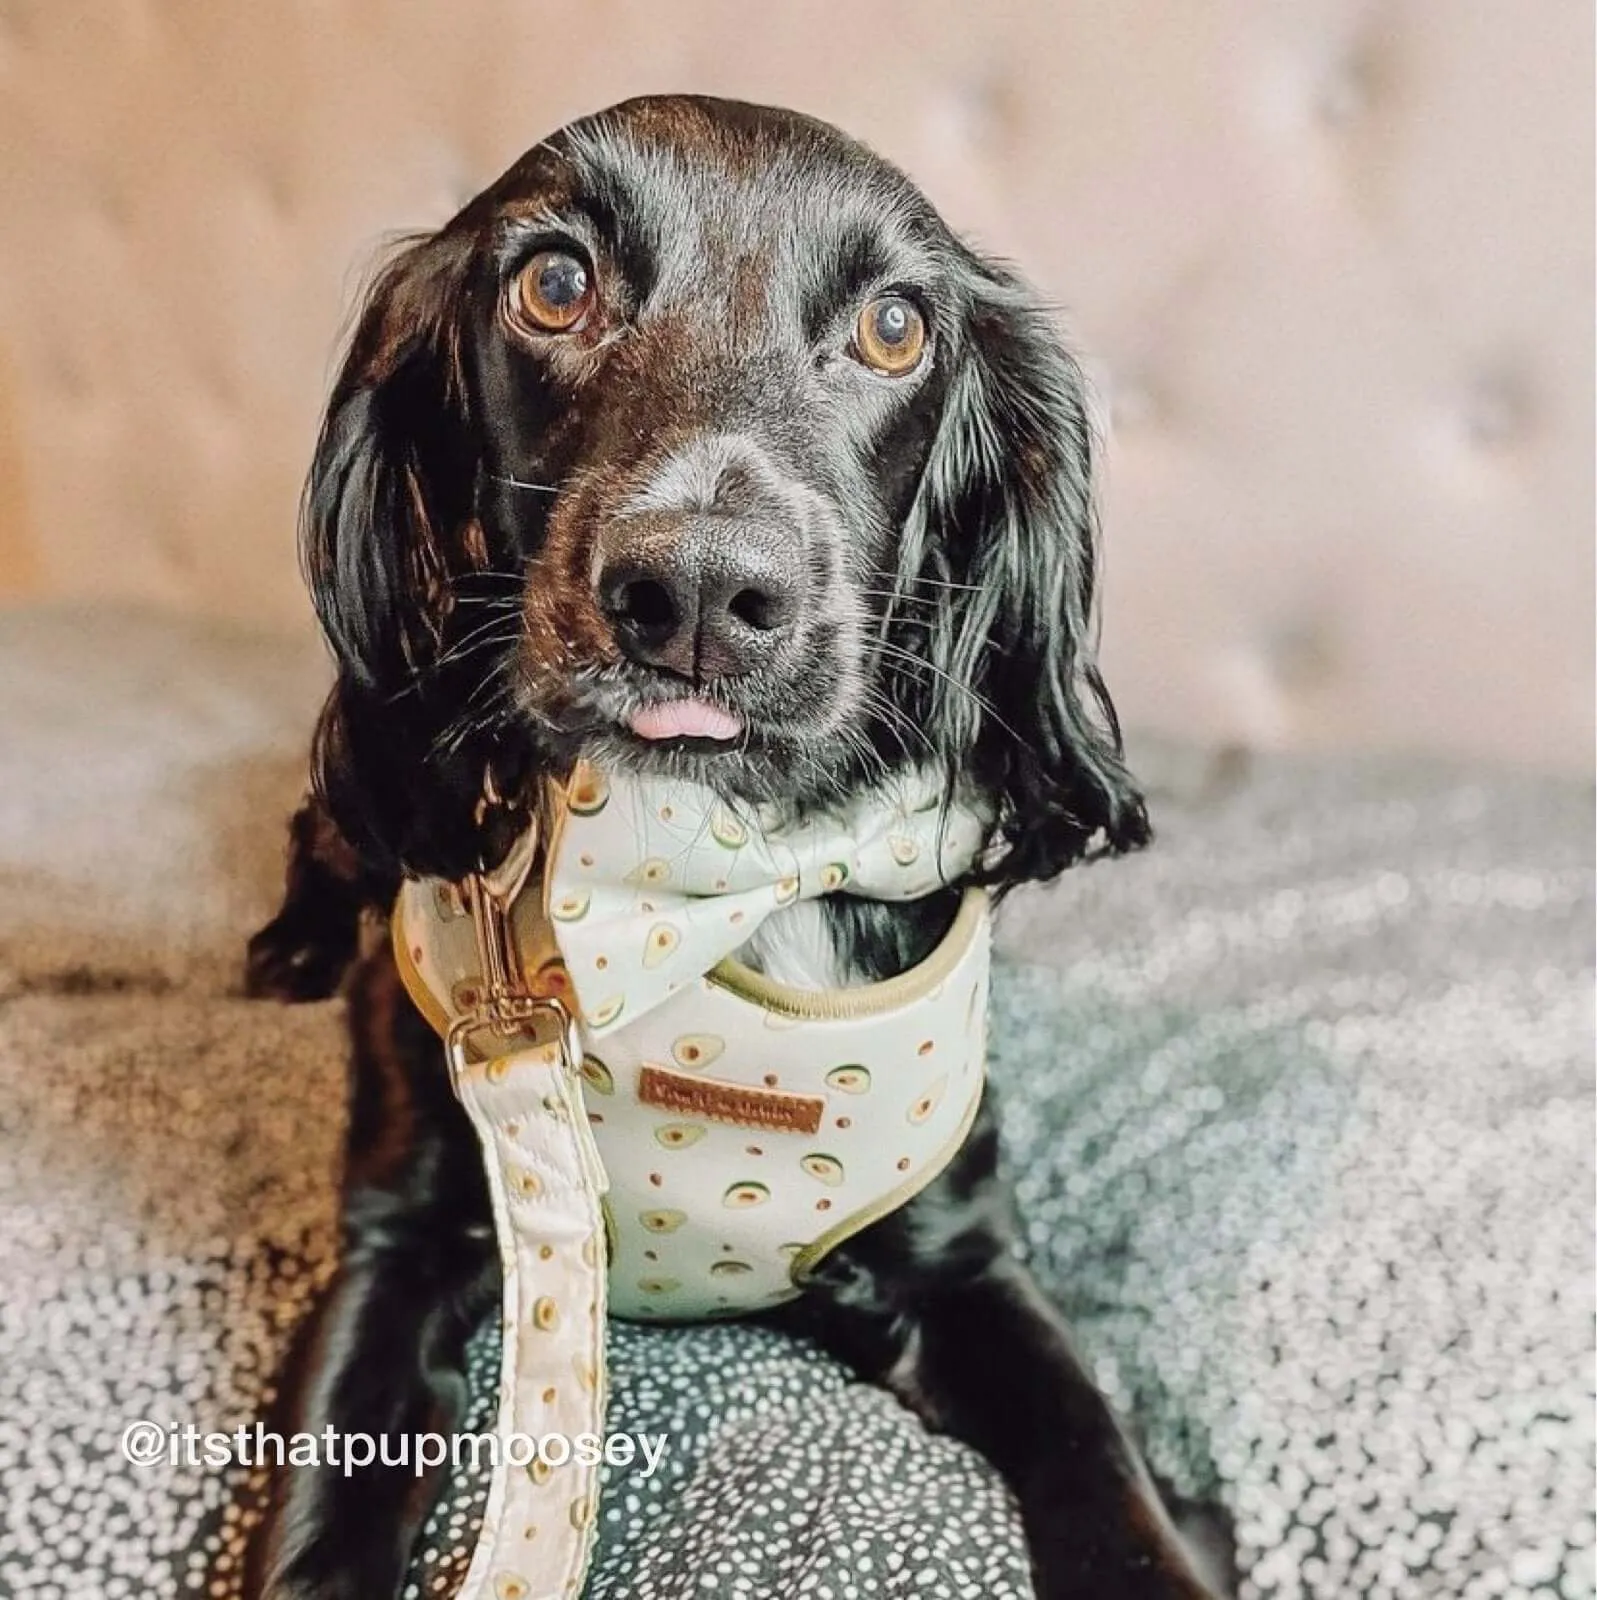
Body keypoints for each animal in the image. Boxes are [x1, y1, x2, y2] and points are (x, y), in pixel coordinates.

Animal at [246, 93, 1222, 1593]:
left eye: (895, 326)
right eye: (553, 283)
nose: (698, 593)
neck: (705, 876)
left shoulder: (966, 1263)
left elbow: (1100, 1461)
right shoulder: (399, 1235)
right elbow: (317, 1519)